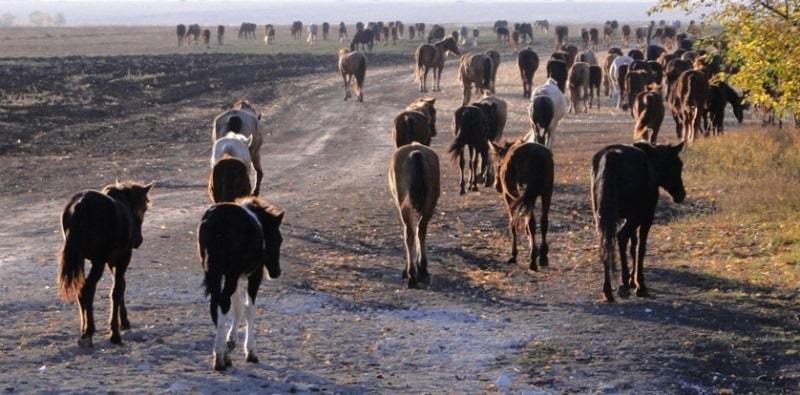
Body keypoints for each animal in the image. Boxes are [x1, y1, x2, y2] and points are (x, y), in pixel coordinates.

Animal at [57, 181, 155, 348]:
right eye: (143, 207)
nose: (138, 240)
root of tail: (81, 204)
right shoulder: (122, 257)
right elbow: (117, 290)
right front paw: (115, 333)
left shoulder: (111, 260)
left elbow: (121, 285)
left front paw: (124, 322)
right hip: (99, 261)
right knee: (87, 289)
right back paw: (89, 332)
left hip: (80, 258)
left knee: (80, 288)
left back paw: (84, 330)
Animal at [197, 197, 284, 372]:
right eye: (278, 239)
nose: (276, 272)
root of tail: (217, 222)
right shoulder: (254, 274)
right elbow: (249, 308)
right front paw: (251, 352)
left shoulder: (232, 275)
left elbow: (237, 306)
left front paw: (231, 341)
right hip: (231, 272)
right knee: (223, 302)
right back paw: (220, 357)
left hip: (214, 271)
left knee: (216, 303)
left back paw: (224, 355)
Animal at [386, 144, 440, 290]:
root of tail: (415, 152)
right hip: (430, 203)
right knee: (421, 230)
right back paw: (420, 269)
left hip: (404, 205)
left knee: (409, 233)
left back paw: (412, 273)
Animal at [490, 140, 552, 272]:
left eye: (497, 163)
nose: (496, 185)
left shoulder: (509, 196)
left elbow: (513, 224)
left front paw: (513, 255)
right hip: (546, 192)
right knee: (543, 222)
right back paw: (543, 256)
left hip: (523, 193)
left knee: (531, 223)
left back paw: (533, 259)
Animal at [588, 142, 688, 304]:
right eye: (678, 164)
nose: (681, 194)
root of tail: (611, 156)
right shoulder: (645, 218)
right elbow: (640, 248)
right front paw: (638, 283)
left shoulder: (628, 218)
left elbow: (632, 245)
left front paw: (632, 280)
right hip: (634, 217)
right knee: (621, 237)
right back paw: (623, 284)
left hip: (601, 217)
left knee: (606, 244)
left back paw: (607, 290)